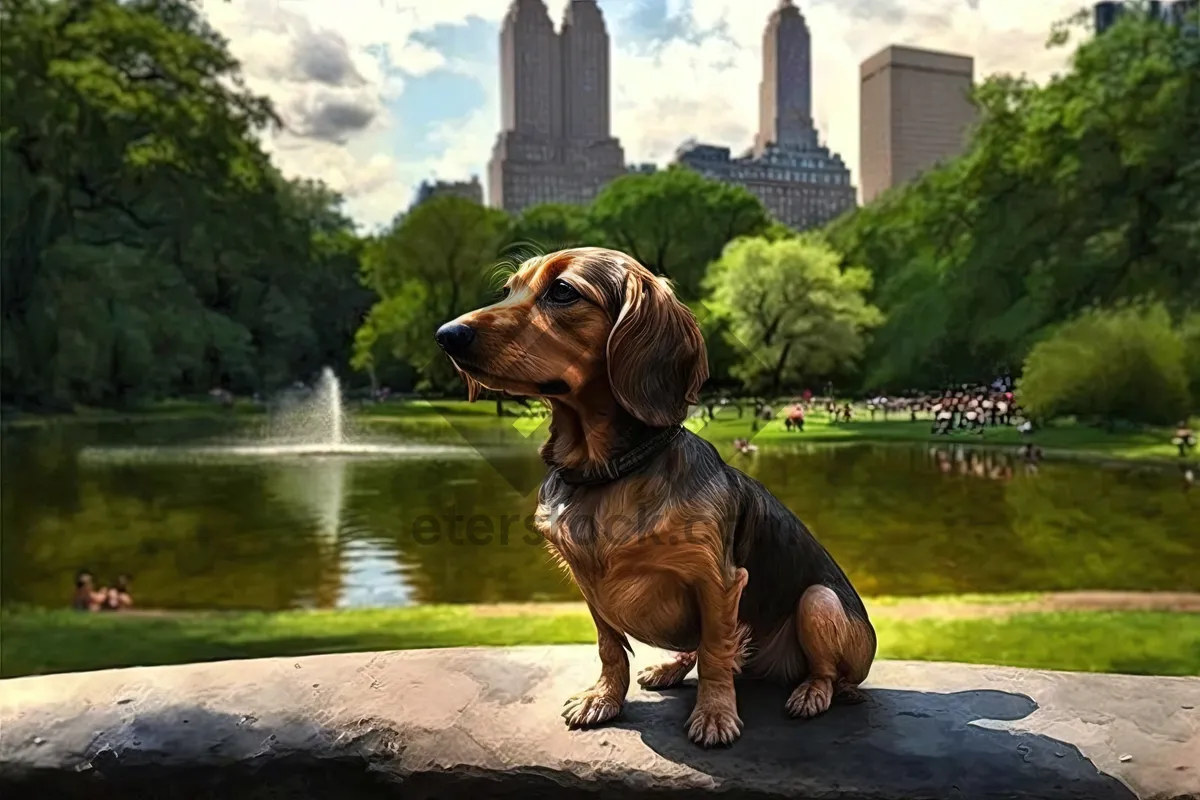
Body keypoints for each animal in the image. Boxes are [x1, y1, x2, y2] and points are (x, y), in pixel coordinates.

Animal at [434, 247, 873, 748]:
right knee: (696, 652)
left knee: (826, 672)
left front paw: (715, 714)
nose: (446, 335)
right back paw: (669, 668)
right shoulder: (588, 585)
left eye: (562, 291)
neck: (607, 475)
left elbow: (716, 654)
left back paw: (810, 693)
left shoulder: (720, 582)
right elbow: (611, 647)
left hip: (820, 601)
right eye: (509, 289)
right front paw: (604, 698)